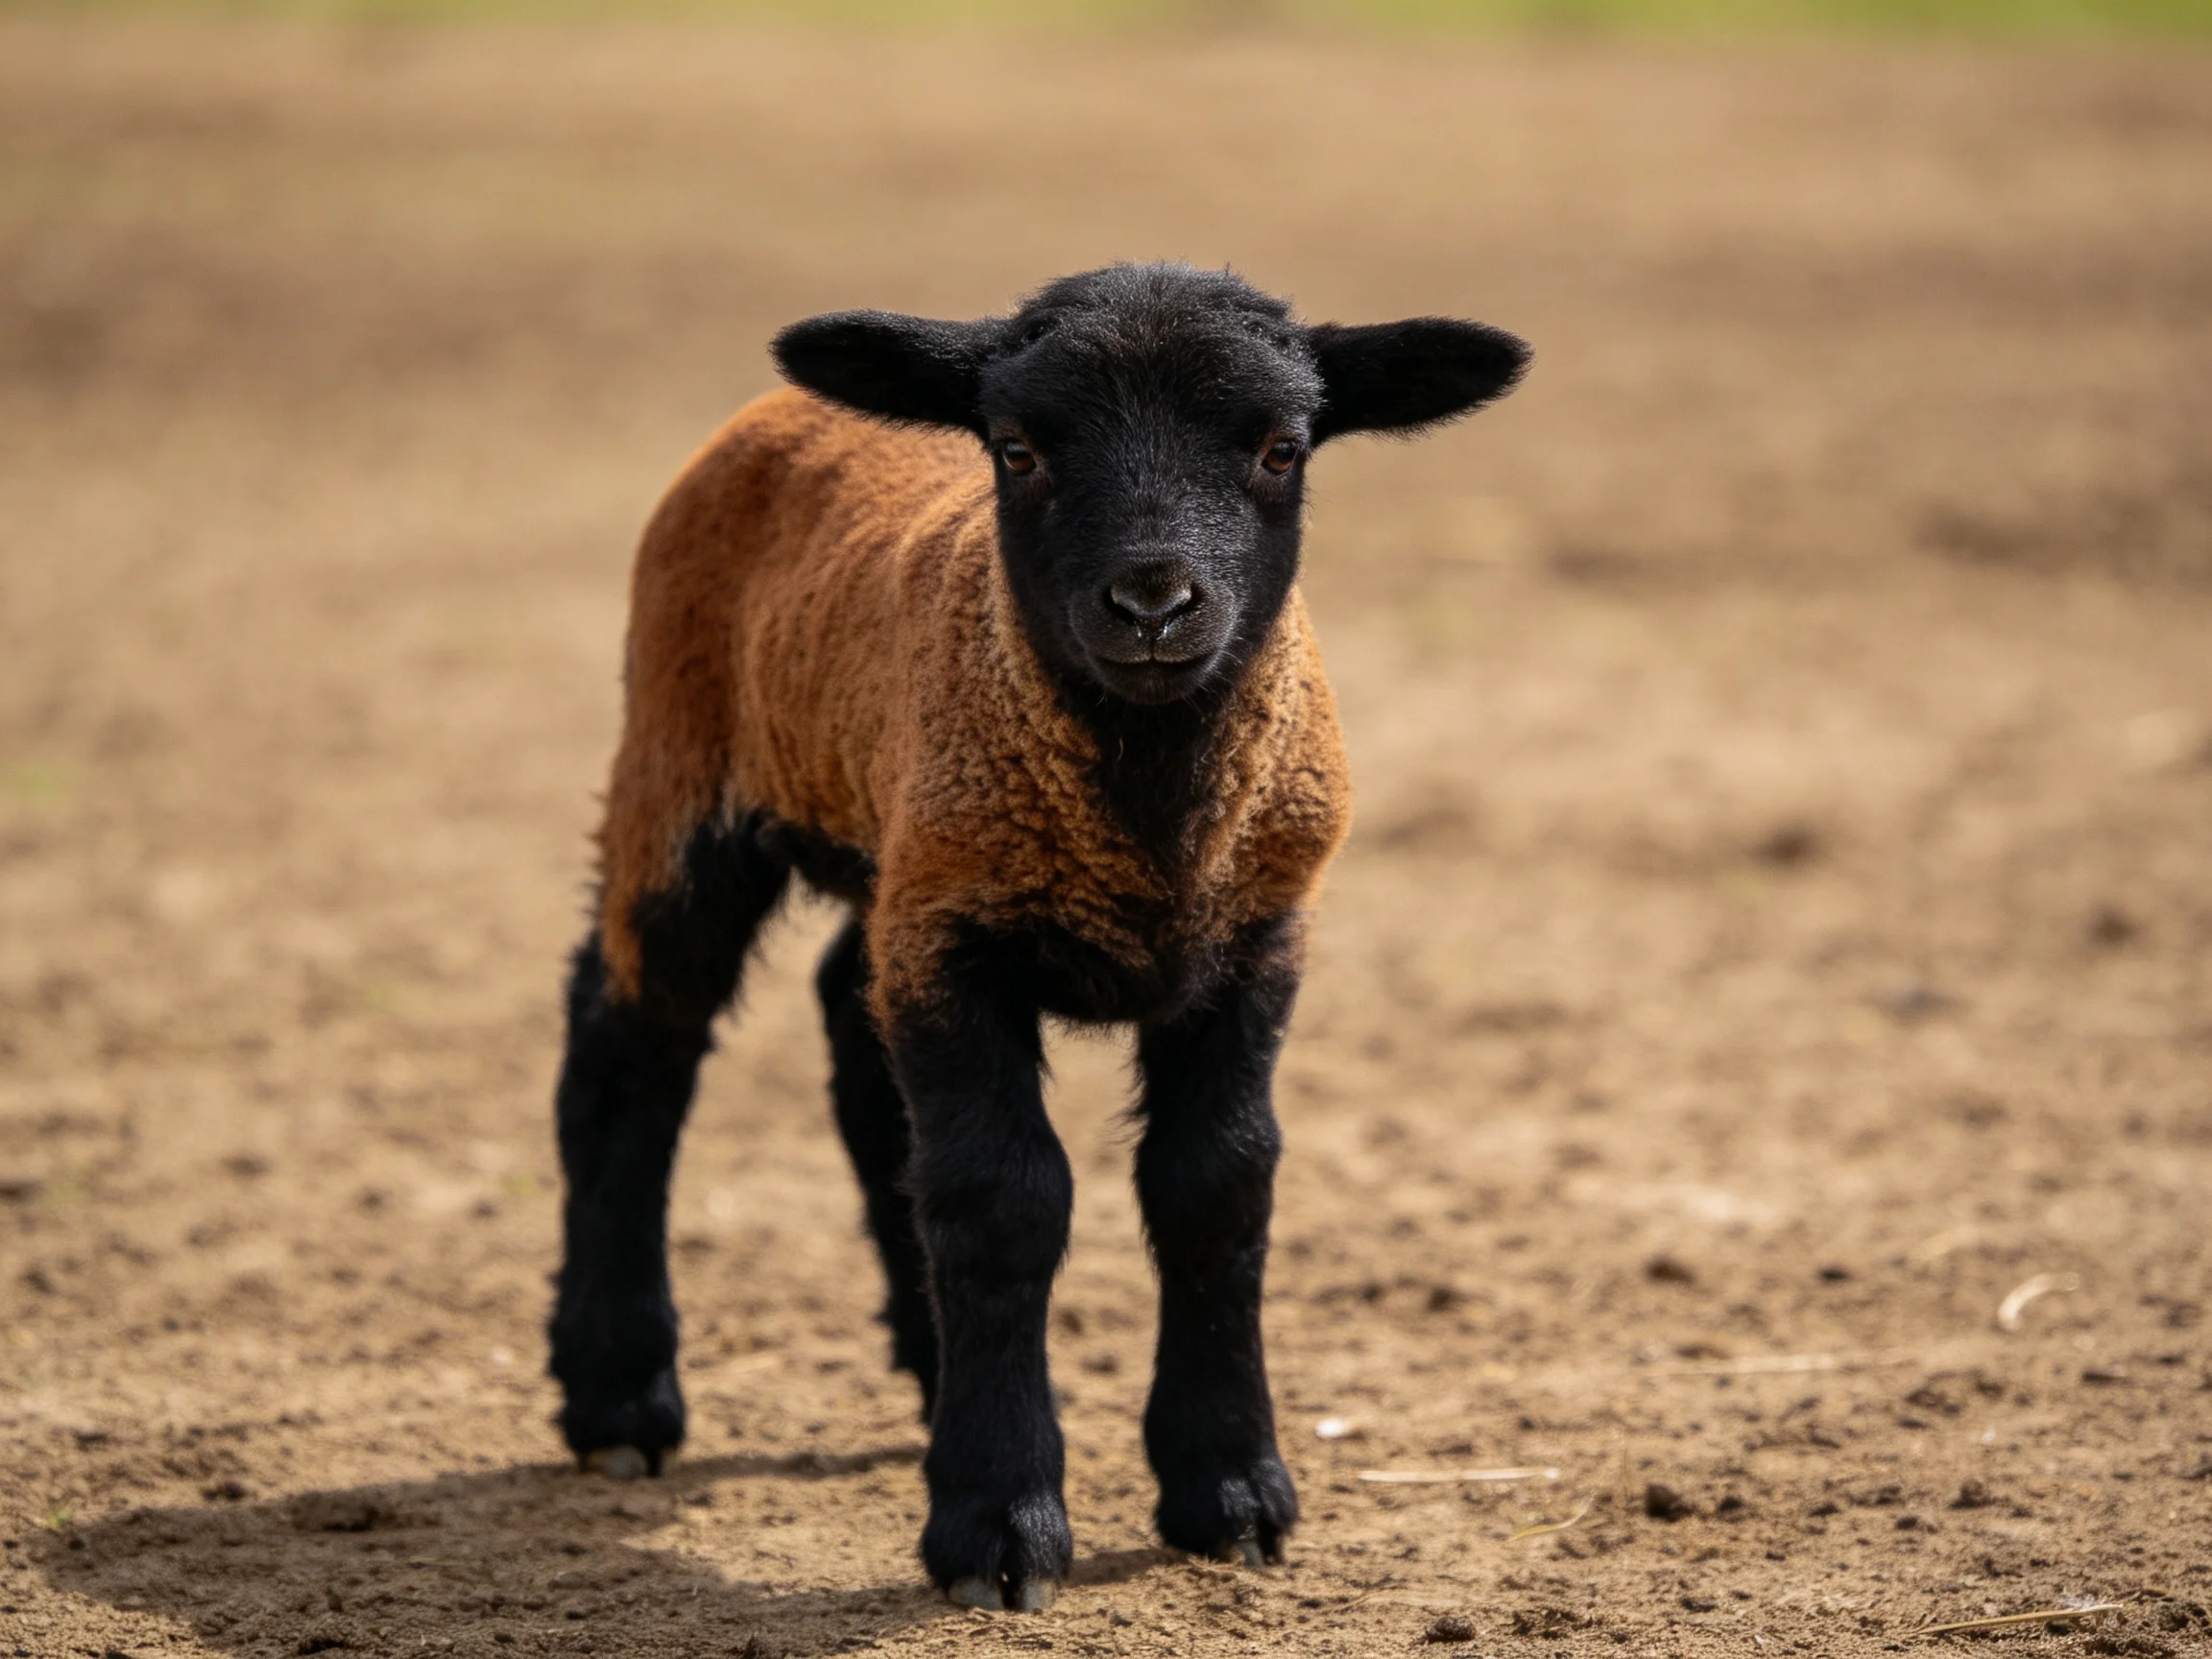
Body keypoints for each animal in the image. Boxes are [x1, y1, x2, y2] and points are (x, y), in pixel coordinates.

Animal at [548, 262, 1528, 1610]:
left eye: (1281, 448)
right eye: (1017, 451)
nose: (1155, 600)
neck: (1148, 814)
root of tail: (778, 411)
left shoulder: (1252, 940)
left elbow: (1217, 1184)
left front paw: (1231, 1492)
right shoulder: (957, 945)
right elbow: (1006, 1200)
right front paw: (1000, 1523)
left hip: (896, 856)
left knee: (850, 1037)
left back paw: (926, 1365)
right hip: (684, 767)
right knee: (629, 1049)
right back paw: (620, 1397)